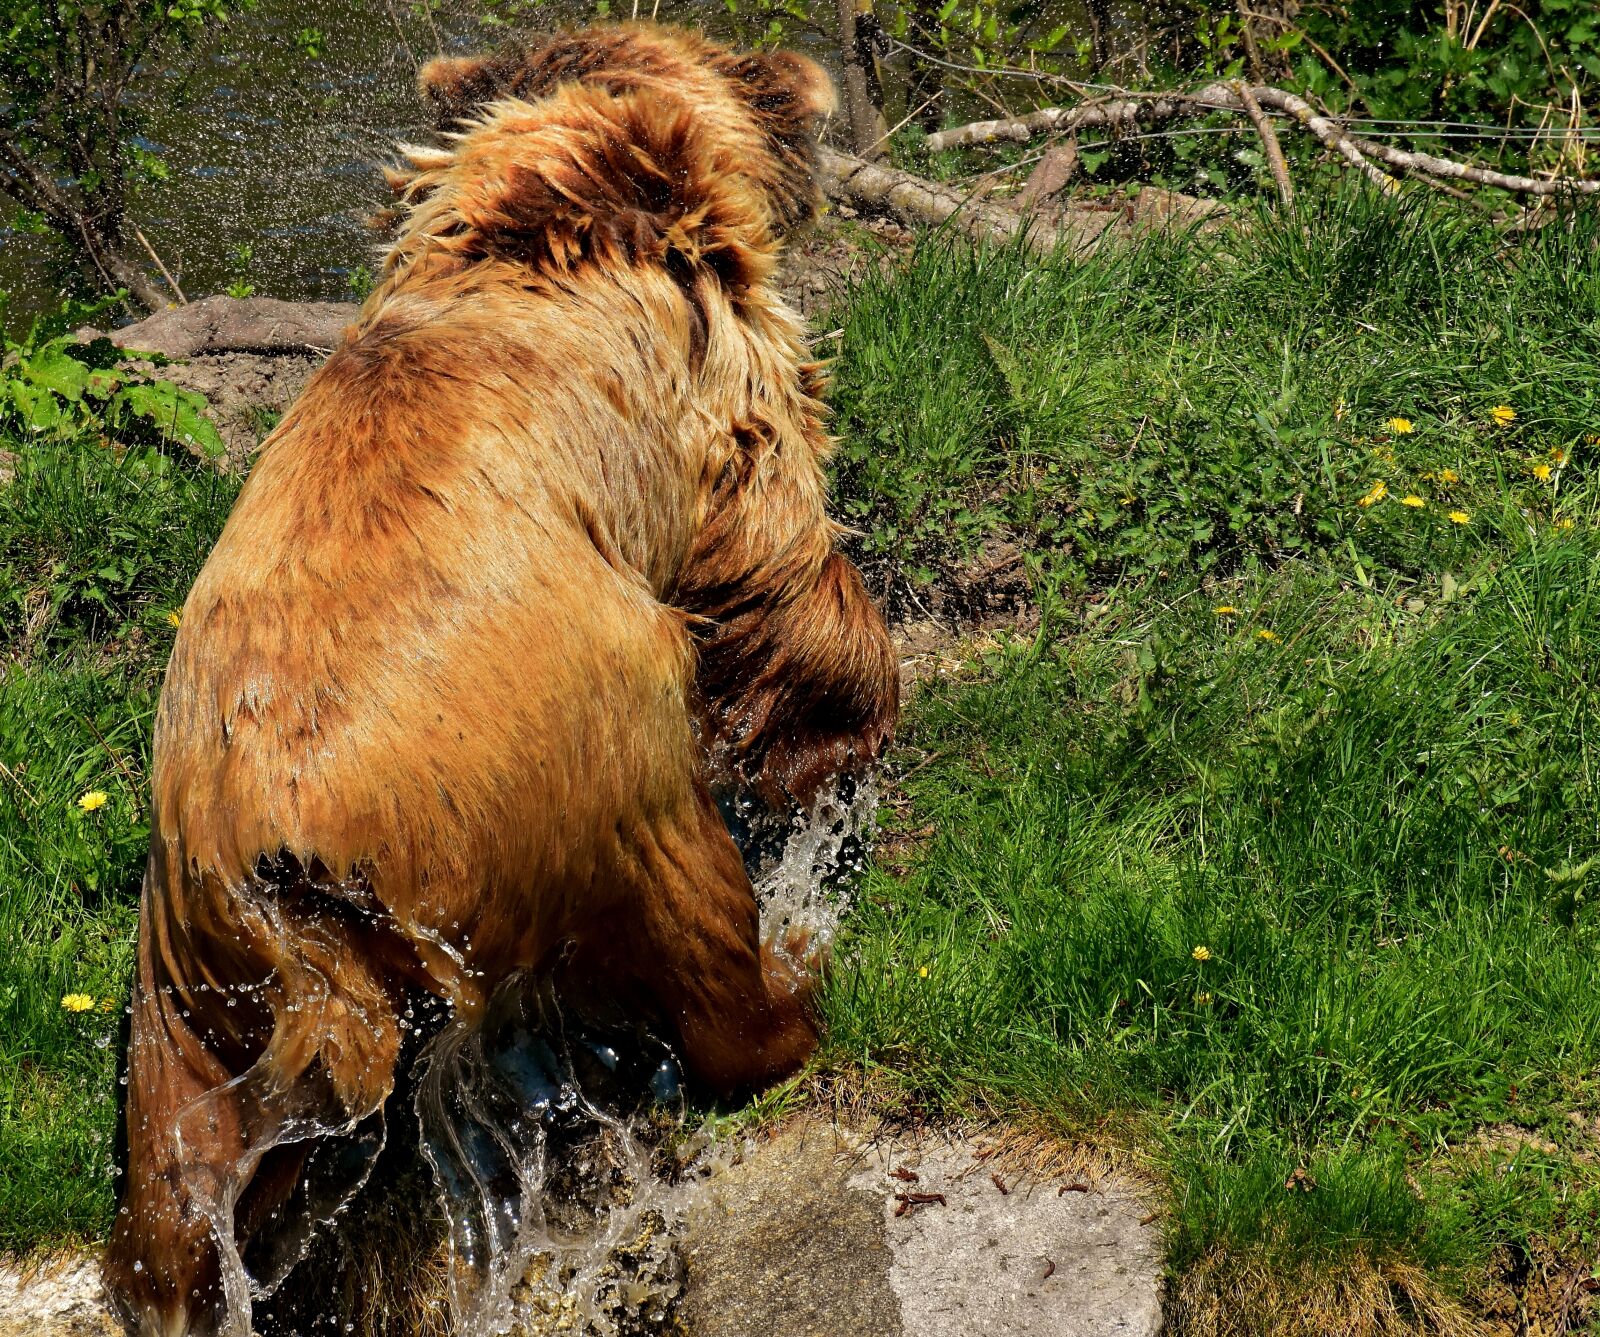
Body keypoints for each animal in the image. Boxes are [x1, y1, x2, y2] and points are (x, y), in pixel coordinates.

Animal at [103, 24, 898, 1337]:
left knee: (178, 1163)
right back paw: (788, 987)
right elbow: (775, 547)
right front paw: (840, 734)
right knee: (686, 900)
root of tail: (284, 837)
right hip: (581, 752)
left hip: (193, 966)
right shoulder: (711, 395)